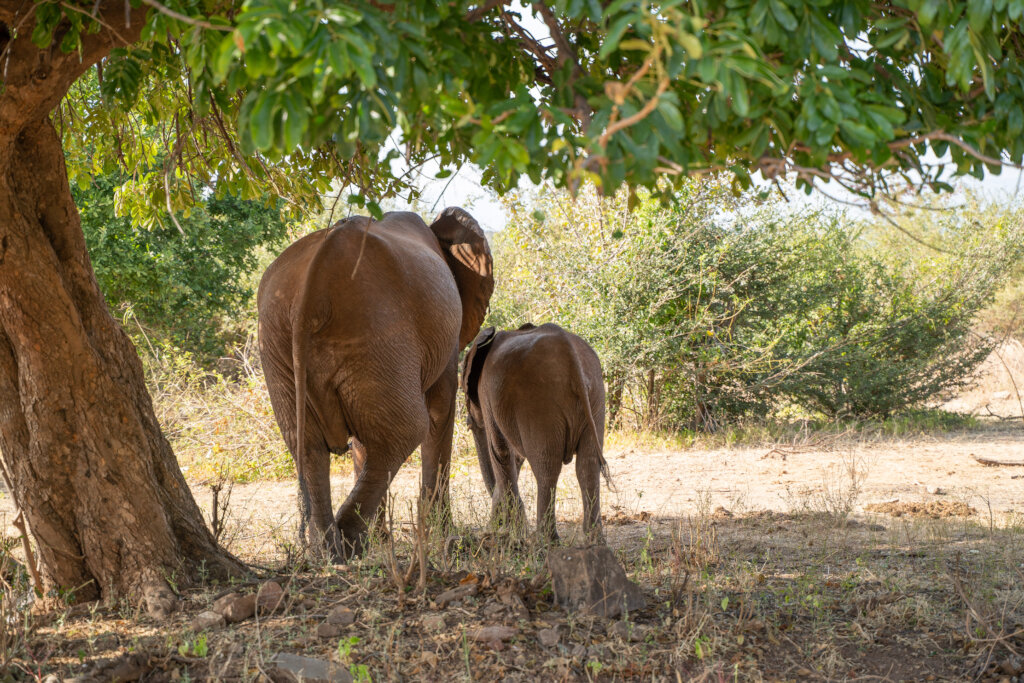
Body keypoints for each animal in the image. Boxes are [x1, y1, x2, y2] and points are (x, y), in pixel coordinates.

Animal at [258, 208, 493, 561]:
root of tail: (312, 282)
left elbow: (363, 440)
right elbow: (439, 410)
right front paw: (443, 536)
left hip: (288, 343)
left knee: (306, 443)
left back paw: (329, 552)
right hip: (378, 329)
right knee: (407, 428)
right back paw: (349, 543)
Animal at [462, 323, 610, 540]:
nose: (490, 530)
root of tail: (570, 354)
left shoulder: (487, 393)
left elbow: (500, 451)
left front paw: (512, 534)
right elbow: (515, 455)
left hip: (539, 402)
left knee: (546, 466)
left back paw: (544, 540)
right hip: (596, 395)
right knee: (588, 464)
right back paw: (593, 540)